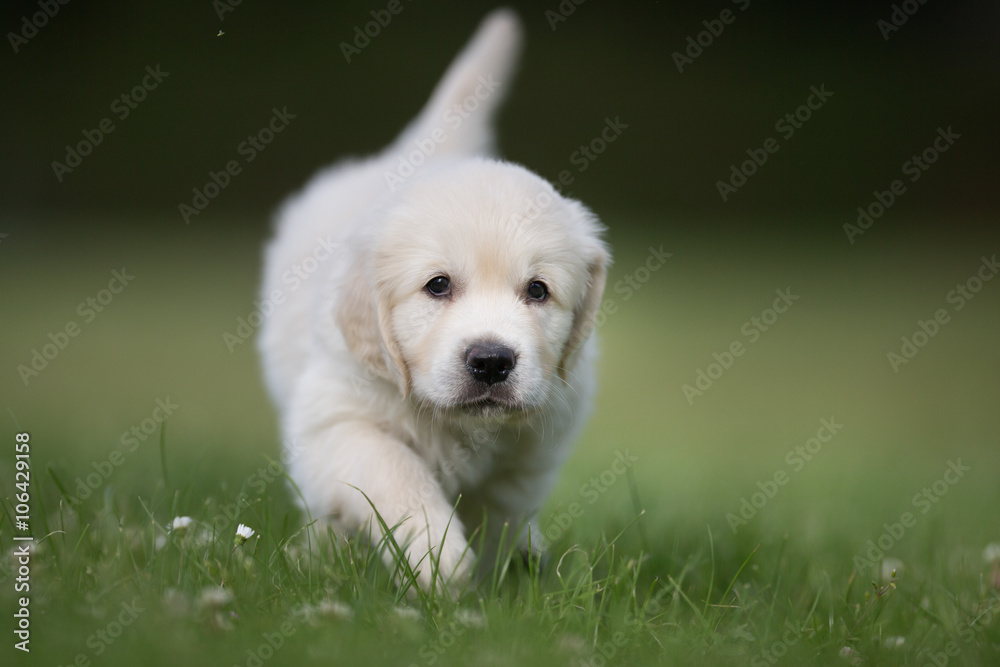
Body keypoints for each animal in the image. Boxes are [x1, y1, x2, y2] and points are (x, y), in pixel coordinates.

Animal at [258, 6, 608, 588]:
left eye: (538, 290)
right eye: (437, 285)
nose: (491, 361)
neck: (456, 425)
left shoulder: (525, 461)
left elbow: (497, 518)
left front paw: (494, 586)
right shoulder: (337, 421)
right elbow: (395, 472)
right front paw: (437, 560)